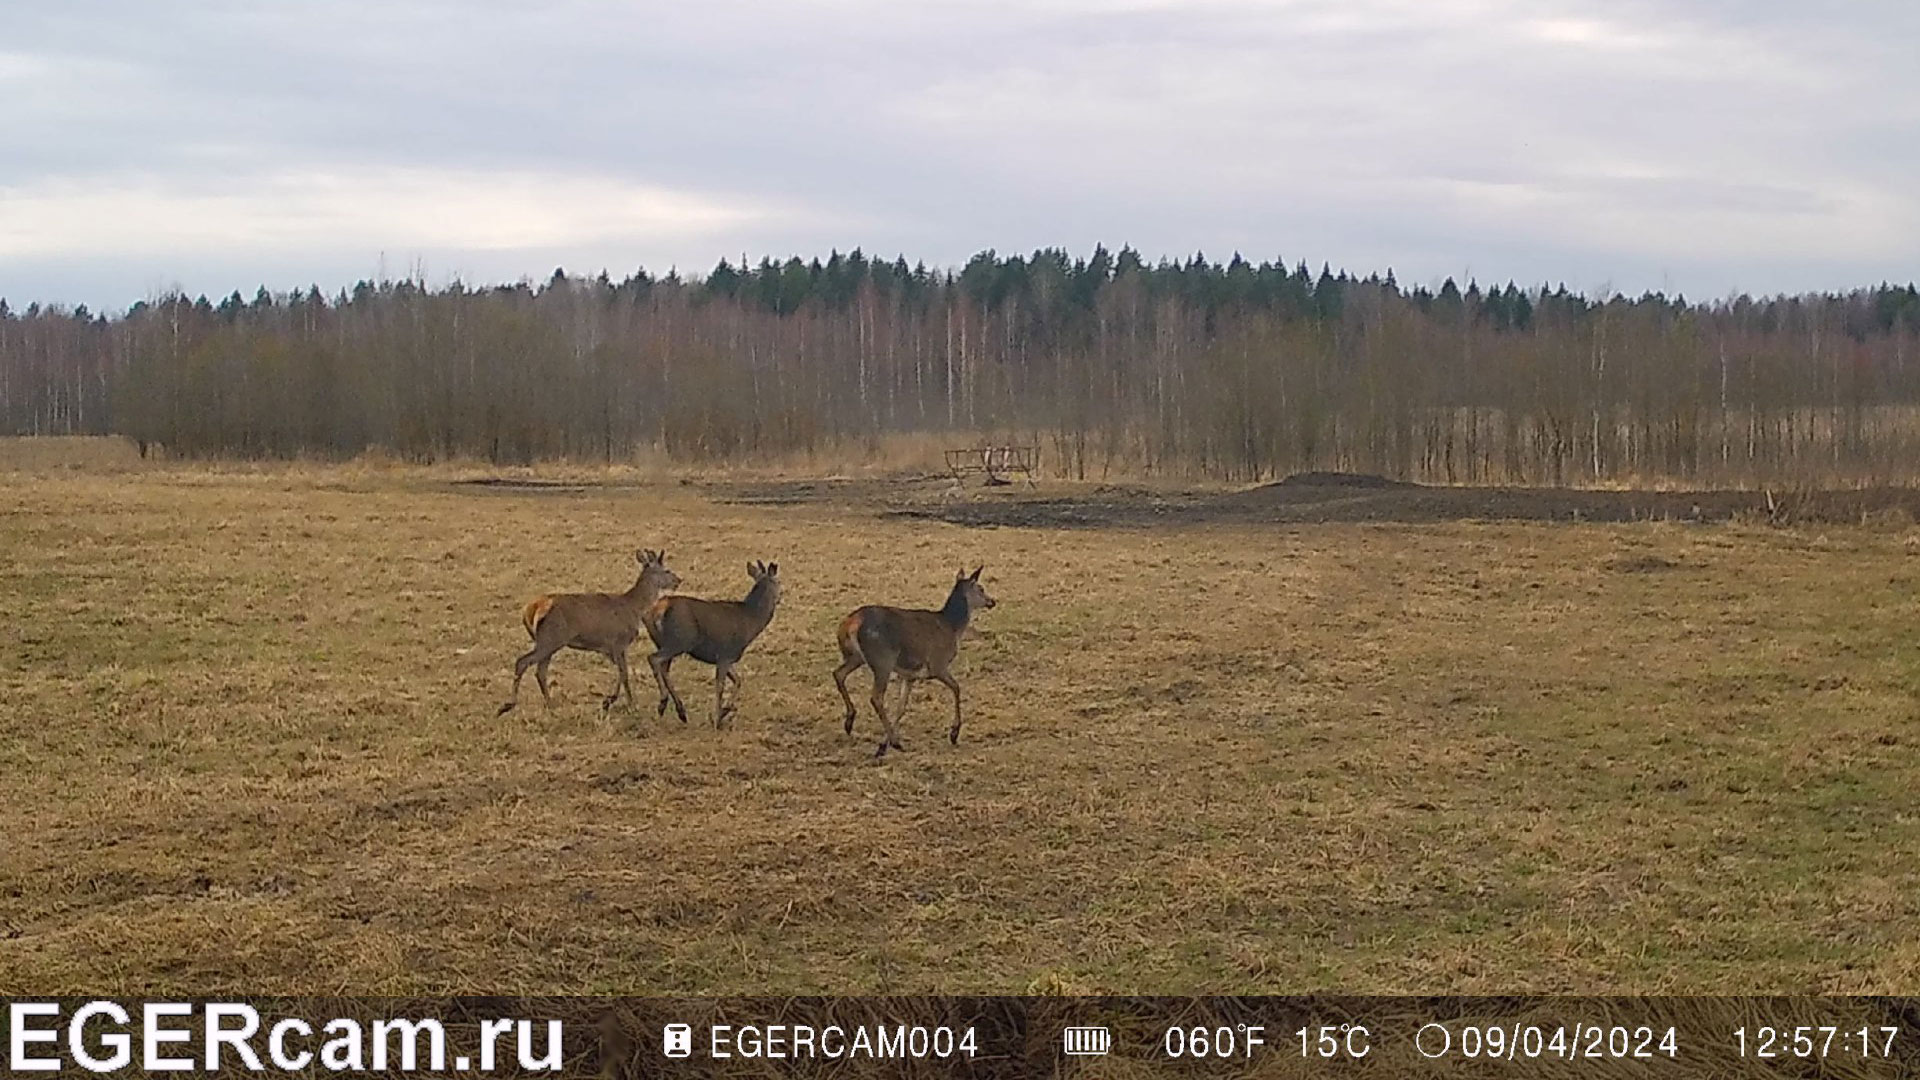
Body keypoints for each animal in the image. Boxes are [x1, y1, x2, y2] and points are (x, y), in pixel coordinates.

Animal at [495, 545, 683, 714]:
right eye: (666, 570)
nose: (679, 580)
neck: (634, 608)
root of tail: (531, 608)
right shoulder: (618, 642)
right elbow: (624, 674)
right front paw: (629, 705)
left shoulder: (610, 648)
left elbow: (621, 673)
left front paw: (609, 701)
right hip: (550, 638)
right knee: (523, 662)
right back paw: (508, 705)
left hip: (547, 641)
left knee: (540, 671)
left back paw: (550, 705)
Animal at [645, 557, 779, 726]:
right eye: (779, 582)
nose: (780, 597)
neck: (751, 622)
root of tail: (659, 608)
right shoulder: (725, 653)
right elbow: (720, 687)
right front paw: (717, 719)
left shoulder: (727, 657)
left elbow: (738, 681)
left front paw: (724, 711)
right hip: (680, 640)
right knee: (654, 659)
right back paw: (664, 702)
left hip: (662, 641)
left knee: (663, 667)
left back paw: (680, 711)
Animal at [833, 564, 998, 757]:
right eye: (981, 588)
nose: (992, 601)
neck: (953, 628)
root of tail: (850, 623)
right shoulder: (937, 664)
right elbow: (957, 688)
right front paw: (954, 733)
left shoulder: (910, 675)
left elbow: (901, 707)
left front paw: (882, 745)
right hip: (883, 659)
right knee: (876, 697)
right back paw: (895, 742)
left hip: (856, 656)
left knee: (838, 673)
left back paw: (850, 722)